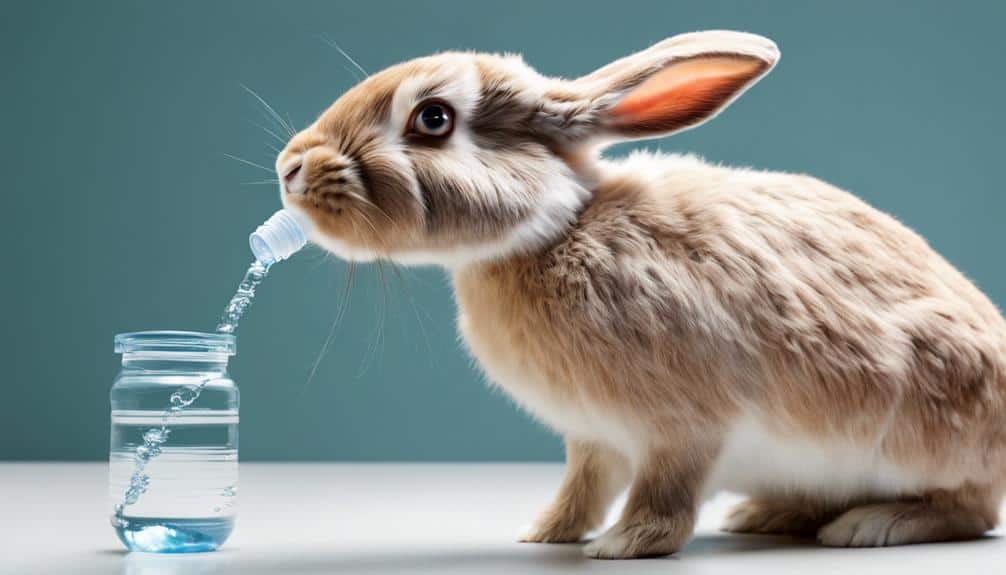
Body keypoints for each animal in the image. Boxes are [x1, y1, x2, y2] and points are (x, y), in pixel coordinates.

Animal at [274, 30, 1006, 558]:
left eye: (433, 118)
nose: (290, 167)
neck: (554, 230)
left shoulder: (681, 429)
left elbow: (663, 493)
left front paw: (624, 545)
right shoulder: (592, 437)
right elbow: (583, 487)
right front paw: (546, 532)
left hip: (927, 415)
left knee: (970, 508)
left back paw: (870, 525)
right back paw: (766, 513)